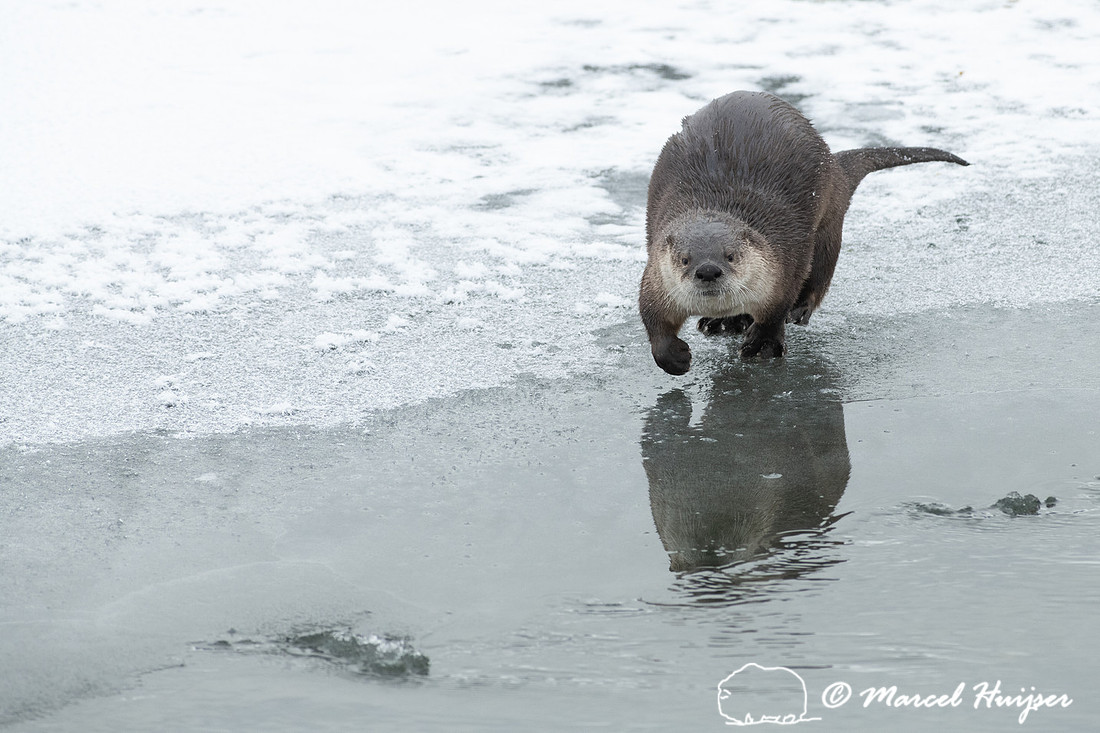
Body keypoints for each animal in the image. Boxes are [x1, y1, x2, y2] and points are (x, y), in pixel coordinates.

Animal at [639, 91, 968, 375]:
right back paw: (722, 323)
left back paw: (797, 311)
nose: (708, 270)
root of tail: (834, 164)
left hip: (828, 225)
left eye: (730, 256)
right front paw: (674, 357)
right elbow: (653, 319)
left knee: (820, 272)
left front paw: (763, 345)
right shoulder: (656, 277)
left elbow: (776, 309)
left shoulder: (785, 263)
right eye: (685, 259)